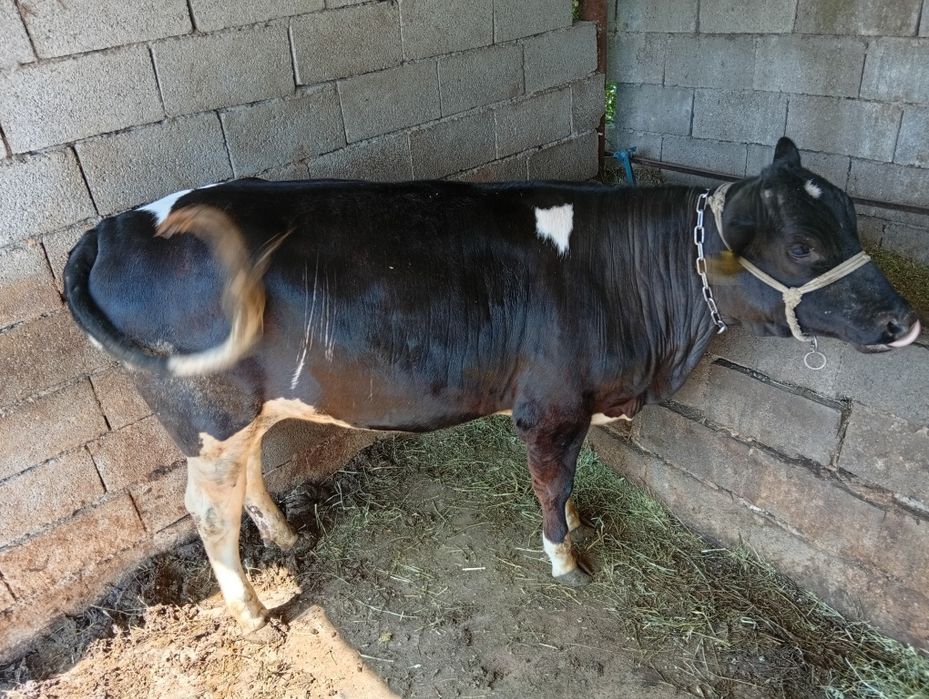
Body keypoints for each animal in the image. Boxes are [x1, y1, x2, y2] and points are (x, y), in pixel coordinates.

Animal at [63, 138, 920, 634]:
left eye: (851, 217)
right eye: (802, 243)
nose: (904, 320)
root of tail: (115, 224)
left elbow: (570, 476)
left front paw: (575, 522)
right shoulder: (550, 404)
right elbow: (550, 480)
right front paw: (563, 554)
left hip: (245, 408)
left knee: (245, 473)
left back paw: (283, 535)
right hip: (205, 409)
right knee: (207, 508)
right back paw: (250, 613)